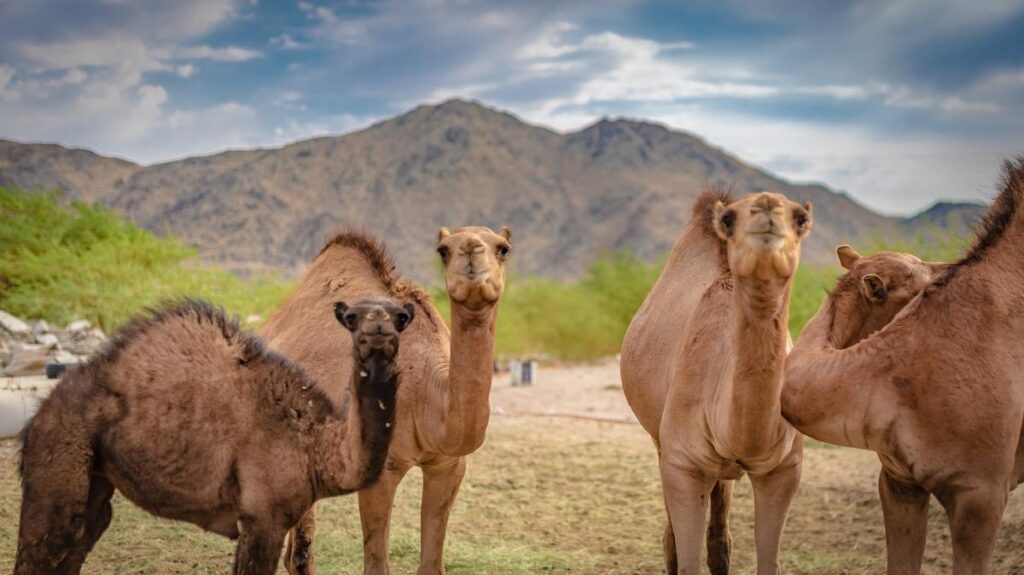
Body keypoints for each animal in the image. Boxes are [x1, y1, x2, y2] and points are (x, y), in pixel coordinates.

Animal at [14, 298, 413, 575]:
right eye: (353, 318)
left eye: (400, 317)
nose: (378, 329)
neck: (317, 446)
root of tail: (40, 410)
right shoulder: (263, 517)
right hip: (59, 449)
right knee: (47, 545)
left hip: (94, 481)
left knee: (79, 538)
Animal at [262, 226, 510, 575]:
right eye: (443, 250)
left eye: (503, 248)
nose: (472, 251)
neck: (426, 387)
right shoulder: (381, 468)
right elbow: (377, 565)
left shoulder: (448, 464)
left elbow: (432, 564)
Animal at [621, 190, 813, 574]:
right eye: (729, 219)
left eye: (801, 218)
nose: (767, 206)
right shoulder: (683, 464)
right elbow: (686, 558)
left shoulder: (783, 469)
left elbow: (767, 562)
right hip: (661, 441)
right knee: (672, 537)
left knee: (720, 533)